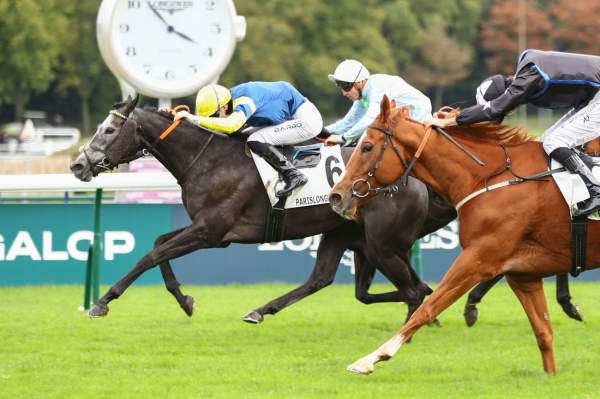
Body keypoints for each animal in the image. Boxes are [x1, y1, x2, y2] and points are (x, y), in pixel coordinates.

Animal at [330, 96, 600, 376]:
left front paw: (371, 358)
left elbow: (427, 307)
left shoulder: (478, 258)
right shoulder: (522, 274)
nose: (336, 195)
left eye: (367, 147)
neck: (489, 178)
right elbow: (543, 332)